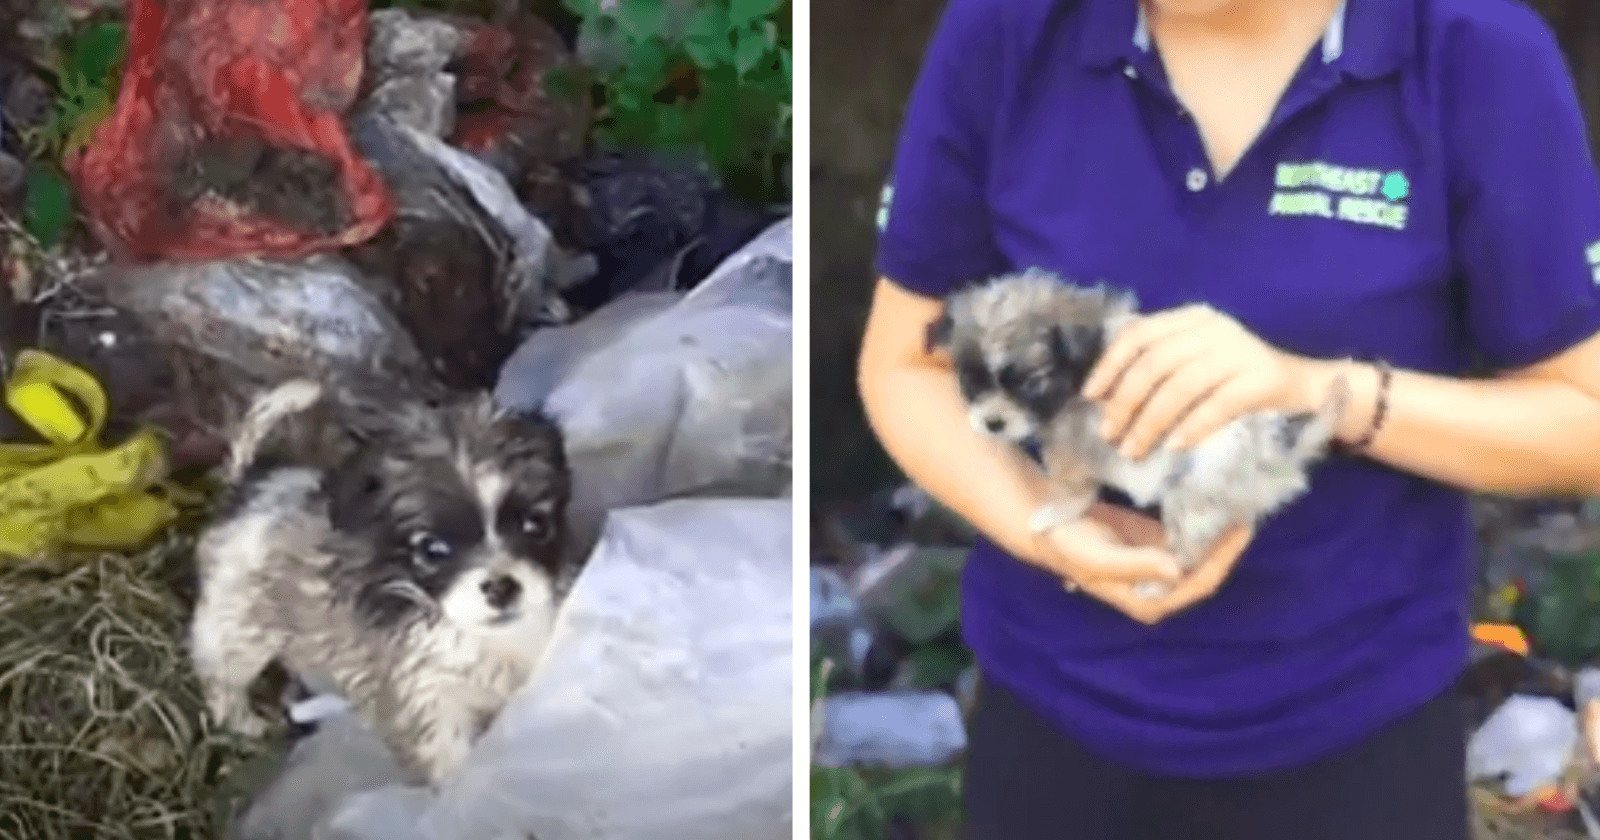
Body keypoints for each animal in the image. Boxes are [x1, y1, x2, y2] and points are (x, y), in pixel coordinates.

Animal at [188, 376, 576, 784]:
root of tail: (250, 486)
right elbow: (448, 765)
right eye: (433, 549)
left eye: (535, 525)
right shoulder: (427, 706)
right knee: (221, 682)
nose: (501, 587)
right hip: (237, 634)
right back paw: (244, 724)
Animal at [928, 268, 1350, 595]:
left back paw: (1159, 581)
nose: (992, 423)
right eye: (971, 382)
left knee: (1188, 555)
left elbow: (1071, 484)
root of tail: (1280, 451)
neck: (1083, 364)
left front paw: (1056, 513)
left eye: (1030, 382)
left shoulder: (1072, 441)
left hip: (1190, 493)